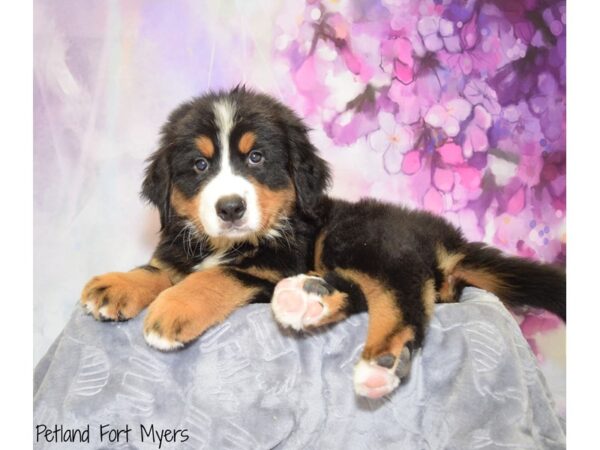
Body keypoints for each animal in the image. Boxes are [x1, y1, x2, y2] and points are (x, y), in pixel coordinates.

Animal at [82, 86, 564, 400]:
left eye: (256, 158)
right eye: (200, 165)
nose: (231, 208)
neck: (224, 242)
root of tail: (444, 236)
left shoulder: (273, 265)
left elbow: (218, 276)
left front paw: (172, 309)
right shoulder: (184, 248)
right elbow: (160, 269)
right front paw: (116, 285)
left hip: (355, 235)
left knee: (402, 296)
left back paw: (381, 360)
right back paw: (306, 299)